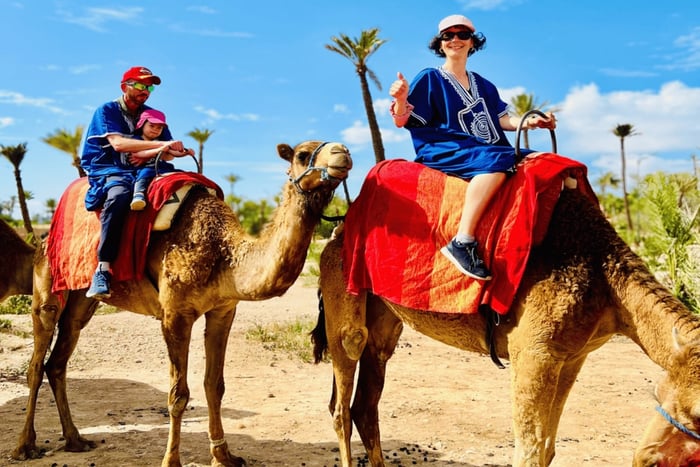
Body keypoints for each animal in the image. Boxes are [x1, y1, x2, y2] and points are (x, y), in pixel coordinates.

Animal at [12, 140, 352, 467]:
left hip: (82, 302)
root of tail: (45, 235)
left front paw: (224, 455)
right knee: (36, 360)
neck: (224, 254)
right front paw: (171, 460)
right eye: (303, 154)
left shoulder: (223, 310)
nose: (343, 153)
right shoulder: (175, 314)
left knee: (59, 359)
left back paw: (75, 440)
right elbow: (178, 394)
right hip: (47, 284)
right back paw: (24, 446)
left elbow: (215, 385)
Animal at [313, 186, 700, 467]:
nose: (645, 459)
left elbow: (547, 448)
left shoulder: (572, 356)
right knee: (342, 397)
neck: (605, 279)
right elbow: (528, 451)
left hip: (385, 319)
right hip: (342, 290)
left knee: (366, 400)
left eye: (656, 390)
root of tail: (335, 232)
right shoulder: (533, 351)